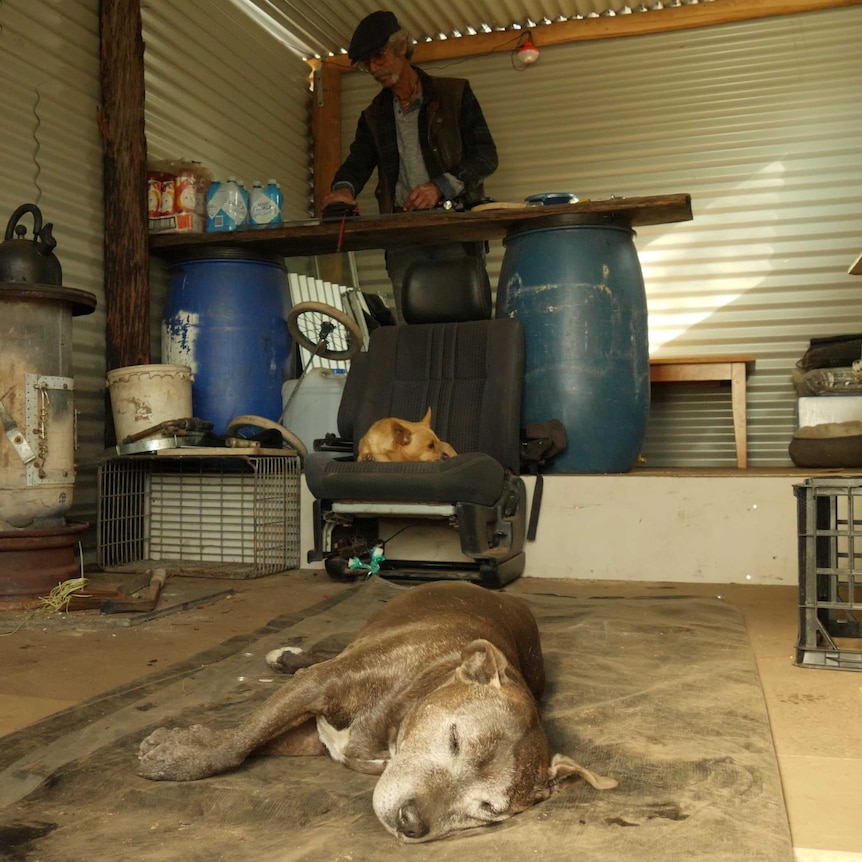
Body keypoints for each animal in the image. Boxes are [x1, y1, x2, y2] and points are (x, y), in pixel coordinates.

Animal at [138, 580, 616, 844]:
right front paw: (178, 757)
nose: (410, 822)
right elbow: (240, 741)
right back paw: (288, 655)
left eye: (488, 809)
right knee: (325, 653)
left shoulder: (310, 736)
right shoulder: (319, 685)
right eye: (454, 739)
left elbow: (255, 740)